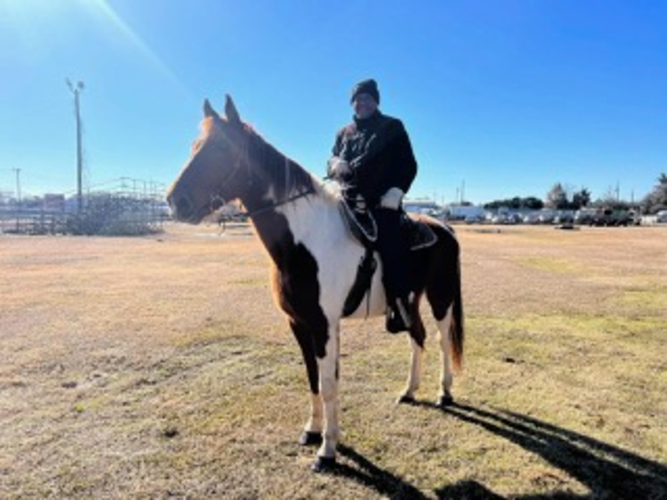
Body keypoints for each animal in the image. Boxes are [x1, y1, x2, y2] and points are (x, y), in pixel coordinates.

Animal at [166, 95, 464, 472]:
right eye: (195, 146)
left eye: (220, 147)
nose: (175, 201)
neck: (304, 240)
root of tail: (444, 228)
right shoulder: (299, 323)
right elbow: (312, 379)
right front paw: (312, 431)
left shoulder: (325, 326)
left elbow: (329, 383)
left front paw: (328, 449)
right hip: (409, 299)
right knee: (418, 337)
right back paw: (409, 391)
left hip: (441, 297)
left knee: (442, 339)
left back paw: (444, 393)